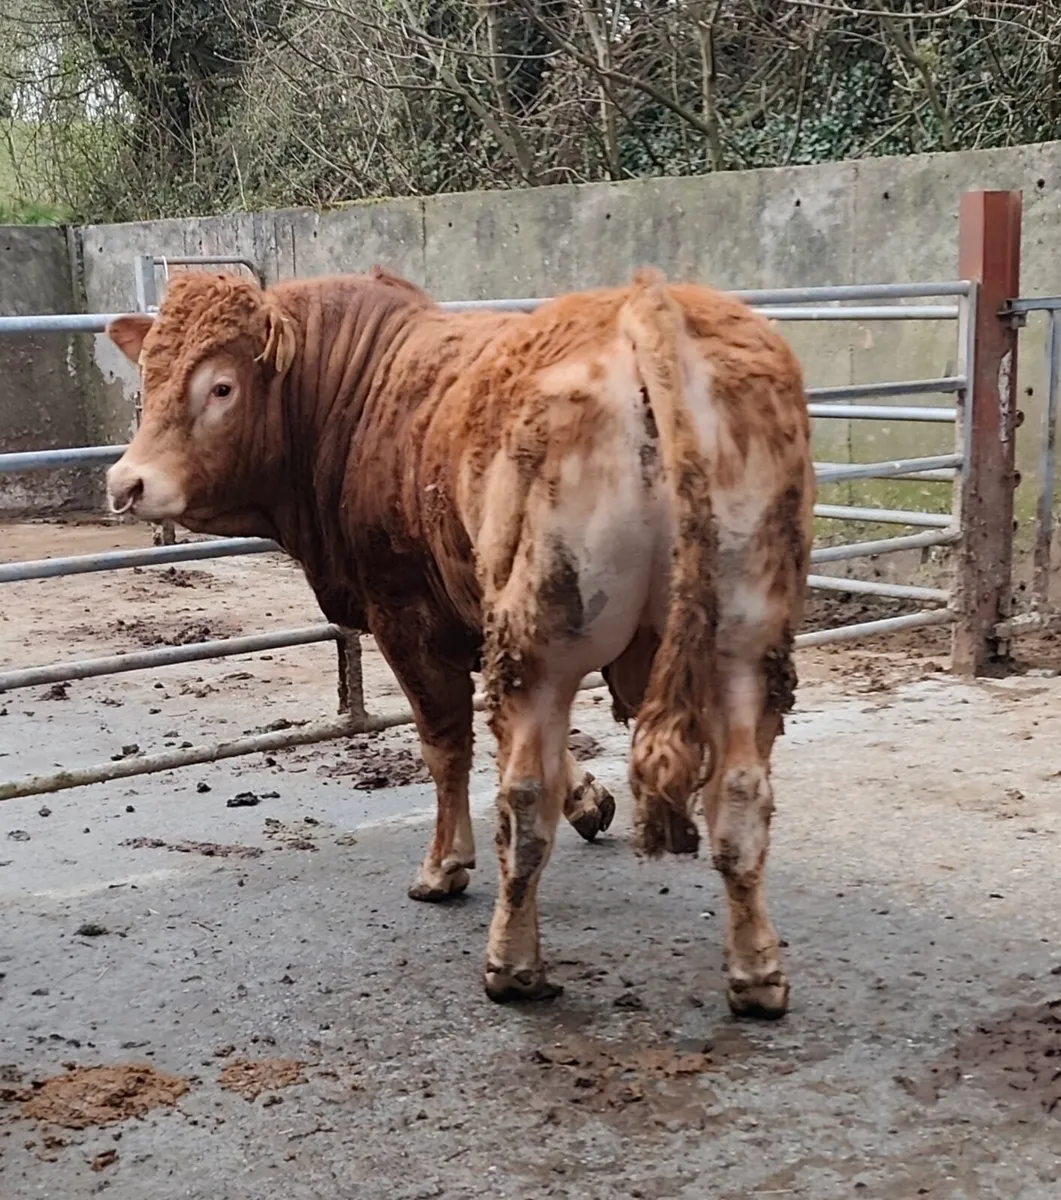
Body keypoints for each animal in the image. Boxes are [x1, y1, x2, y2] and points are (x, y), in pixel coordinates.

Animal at [105, 265, 814, 1017]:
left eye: (221, 387)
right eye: (148, 376)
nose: (126, 482)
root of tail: (647, 304)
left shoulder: (408, 618)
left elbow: (446, 746)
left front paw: (444, 864)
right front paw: (589, 799)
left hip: (545, 636)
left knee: (524, 796)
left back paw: (512, 962)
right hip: (741, 643)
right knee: (740, 795)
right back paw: (757, 975)